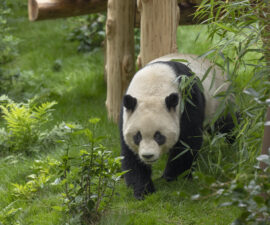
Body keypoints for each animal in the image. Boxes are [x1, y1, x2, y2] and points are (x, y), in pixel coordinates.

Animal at [120, 53, 232, 200]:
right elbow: (131, 156)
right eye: (137, 137)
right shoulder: (126, 114)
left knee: (227, 124)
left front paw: (172, 178)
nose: (148, 156)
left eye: (159, 136)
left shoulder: (187, 99)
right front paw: (143, 190)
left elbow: (187, 142)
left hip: (220, 102)